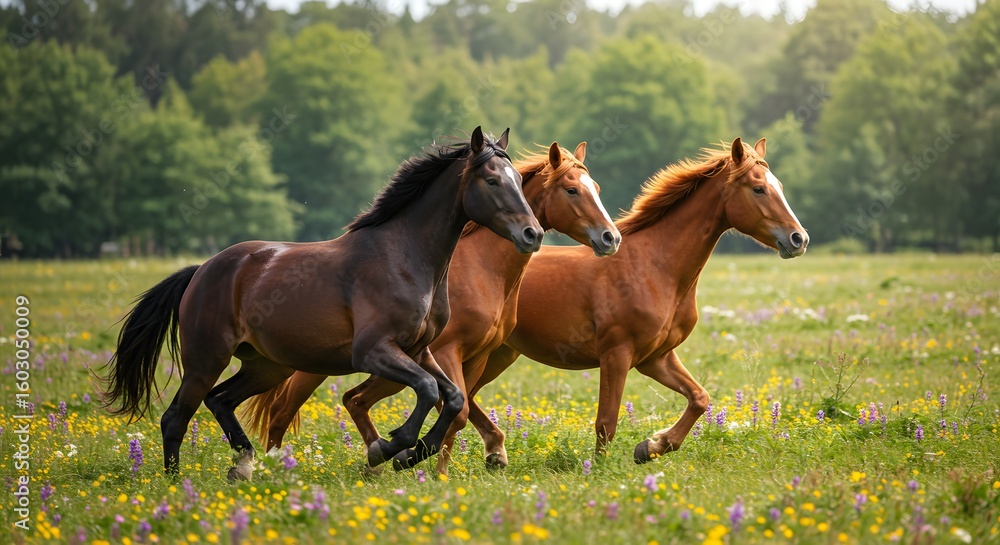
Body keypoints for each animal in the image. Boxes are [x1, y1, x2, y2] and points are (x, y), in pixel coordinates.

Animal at [102, 127, 543, 480]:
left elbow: (451, 397)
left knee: (220, 400)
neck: (404, 257)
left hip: (266, 366)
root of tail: (202, 271)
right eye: (491, 180)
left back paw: (243, 465)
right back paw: (175, 484)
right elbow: (427, 389)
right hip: (205, 359)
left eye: (517, 180)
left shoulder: (420, 349)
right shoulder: (373, 351)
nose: (533, 234)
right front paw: (390, 447)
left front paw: (409, 454)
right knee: (175, 418)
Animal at [242, 141, 622, 472]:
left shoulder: (476, 356)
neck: (484, 268)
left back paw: (373, 462)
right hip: (317, 362)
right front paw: (430, 467)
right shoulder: (445, 351)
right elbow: (457, 411)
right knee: (284, 410)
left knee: (352, 399)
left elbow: (459, 408)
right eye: (572, 190)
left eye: (596, 187)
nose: (610, 238)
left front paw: (442, 462)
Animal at [455, 137, 809, 471]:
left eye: (778, 186)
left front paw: (651, 446)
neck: (655, 267)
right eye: (758, 188)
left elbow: (700, 398)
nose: (799, 239)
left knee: (466, 396)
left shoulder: (656, 358)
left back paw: (495, 453)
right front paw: (600, 469)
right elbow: (606, 421)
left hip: (498, 353)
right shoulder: (617, 354)